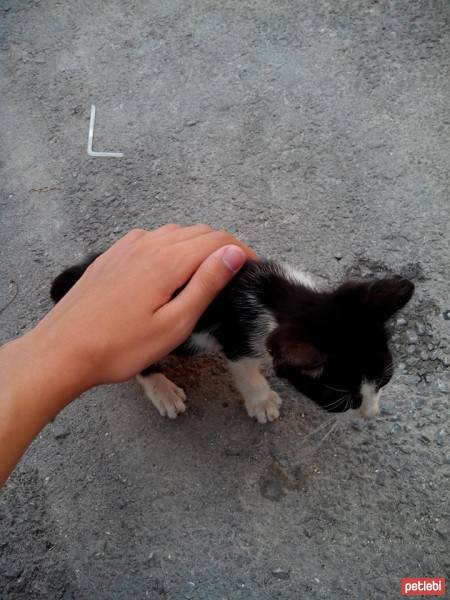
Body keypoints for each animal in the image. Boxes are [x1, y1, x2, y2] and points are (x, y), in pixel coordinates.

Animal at [50, 256, 414, 422]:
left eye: (385, 379)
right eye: (343, 400)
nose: (372, 414)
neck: (281, 297)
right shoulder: (234, 335)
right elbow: (243, 367)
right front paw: (261, 400)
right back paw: (162, 389)